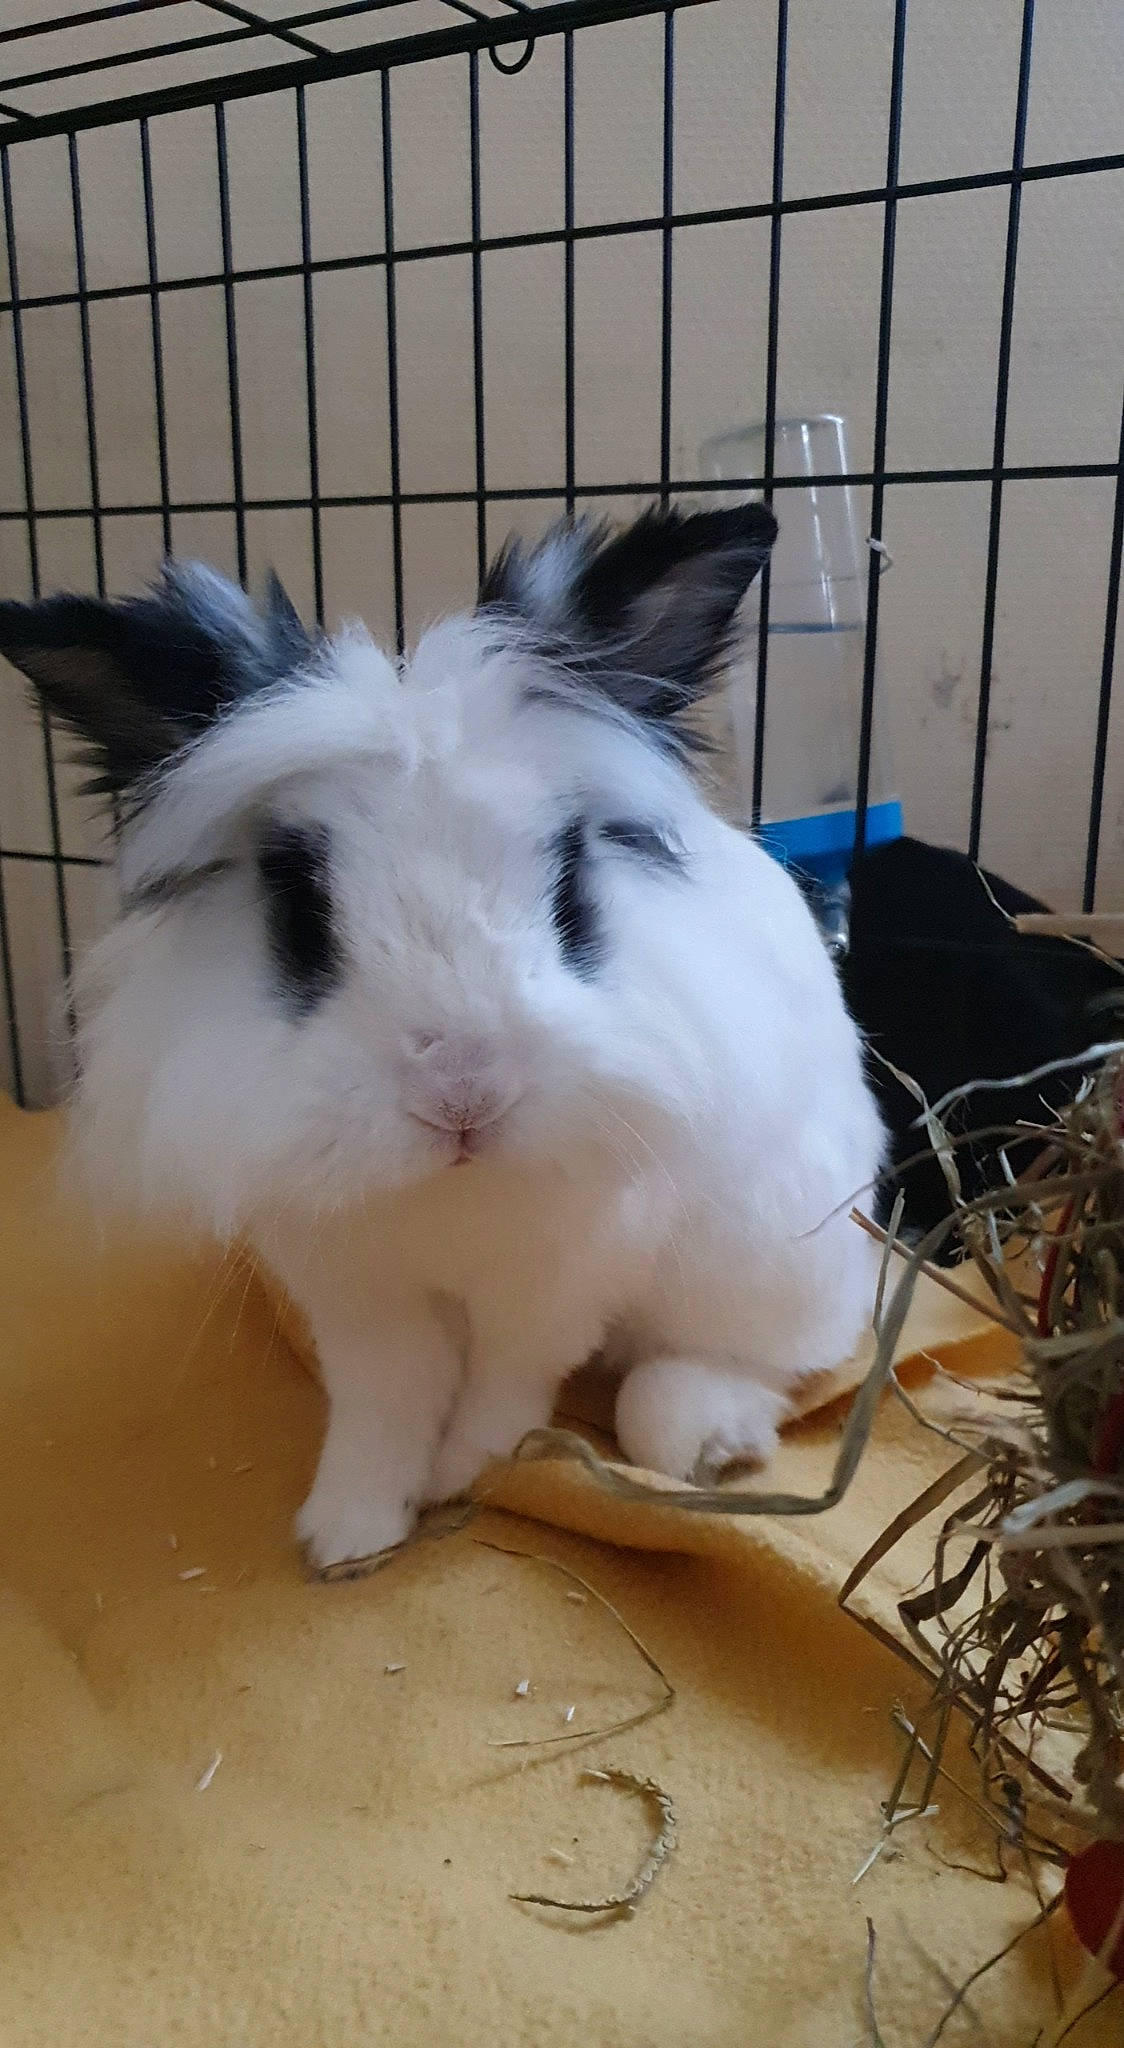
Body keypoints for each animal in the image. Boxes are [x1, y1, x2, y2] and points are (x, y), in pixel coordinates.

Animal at [0, 504, 884, 1569]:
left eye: (570, 883)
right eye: (297, 906)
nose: (462, 1089)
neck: (455, 1192)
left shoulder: (558, 1276)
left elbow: (507, 1380)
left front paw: (468, 1478)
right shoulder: (351, 1287)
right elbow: (385, 1395)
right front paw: (348, 1534)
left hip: (771, 1253)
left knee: (775, 1358)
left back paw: (710, 1436)